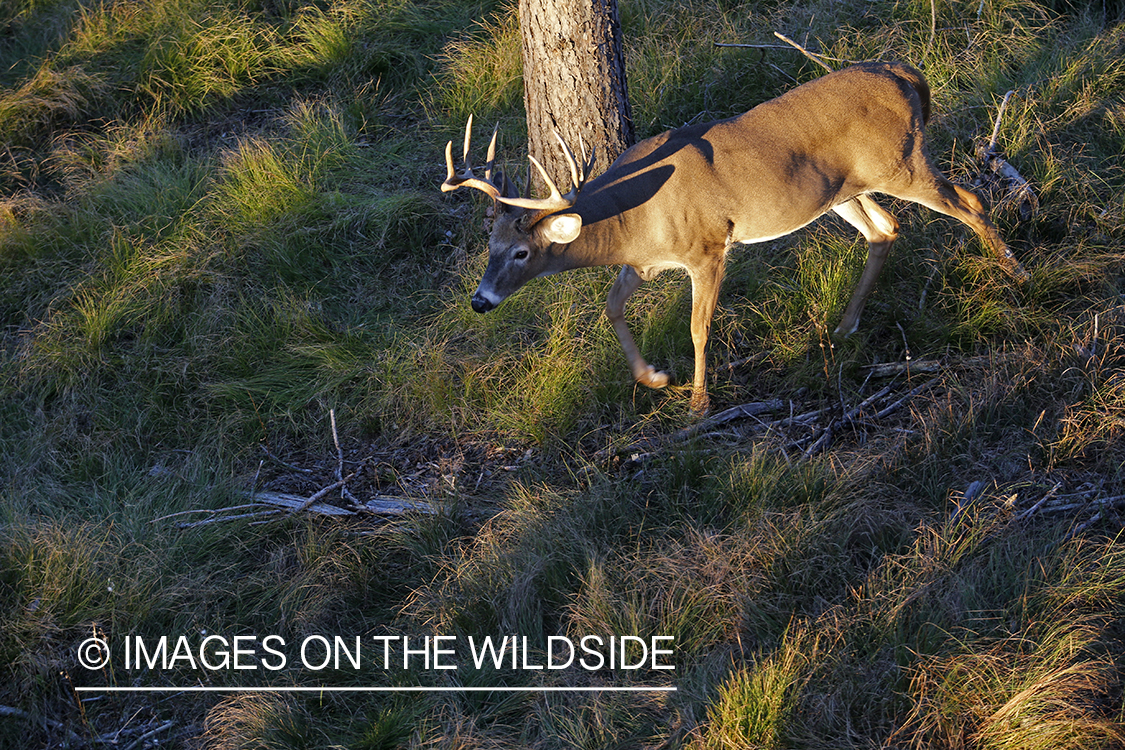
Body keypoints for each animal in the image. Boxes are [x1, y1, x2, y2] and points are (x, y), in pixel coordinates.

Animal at [438, 61, 1030, 413]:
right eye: (489, 247)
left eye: (521, 251)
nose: (479, 300)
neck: (635, 221)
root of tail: (904, 71)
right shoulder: (645, 262)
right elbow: (611, 306)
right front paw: (653, 377)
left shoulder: (707, 248)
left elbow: (698, 328)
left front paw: (698, 402)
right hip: (843, 190)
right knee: (886, 230)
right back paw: (845, 327)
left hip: (901, 161)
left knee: (970, 202)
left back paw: (1018, 274)